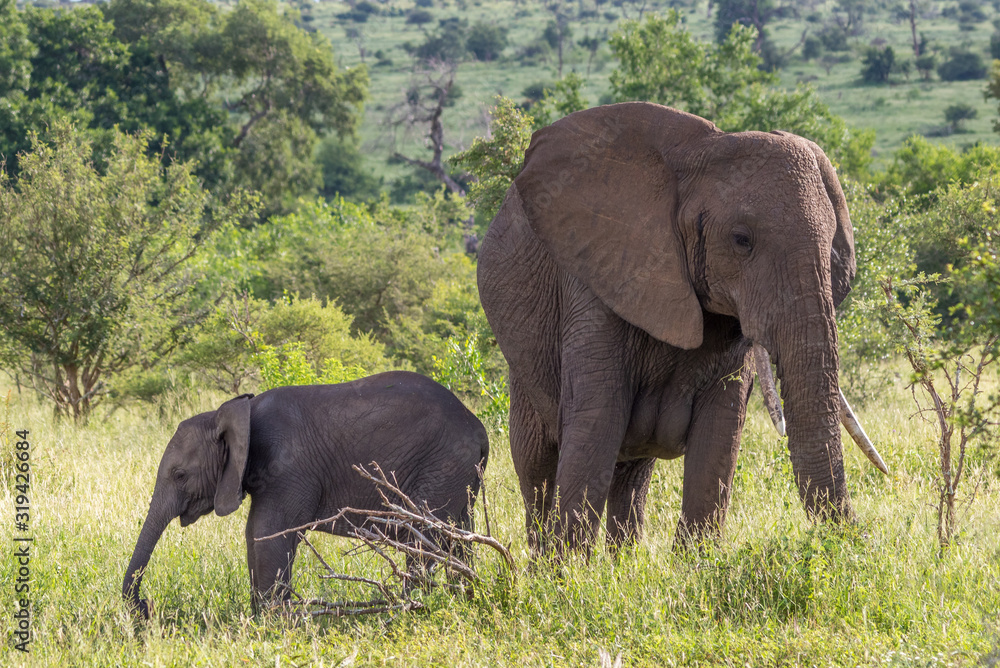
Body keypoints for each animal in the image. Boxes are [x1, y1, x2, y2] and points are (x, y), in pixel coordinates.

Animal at [122, 371, 489, 617]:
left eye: (180, 475)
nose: (146, 606)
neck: (236, 413)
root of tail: (478, 428)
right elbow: (255, 533)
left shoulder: (290, 468)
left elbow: (269, 533)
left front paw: (272, 621)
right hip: (456, 475)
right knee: (458, 538)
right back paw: (463, 599)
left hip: (441, 465)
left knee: (423, 539)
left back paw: (411, 608)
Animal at [477, 102, 886, 551]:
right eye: (742, 240)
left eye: (833, 247)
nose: (860, 538)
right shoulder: (594, 279)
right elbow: (596, 422)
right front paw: (571, 568)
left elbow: (721, 432)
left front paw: (697, 561)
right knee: (536, 463)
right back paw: (542, 559)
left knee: (632, 471)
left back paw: (623, 560)